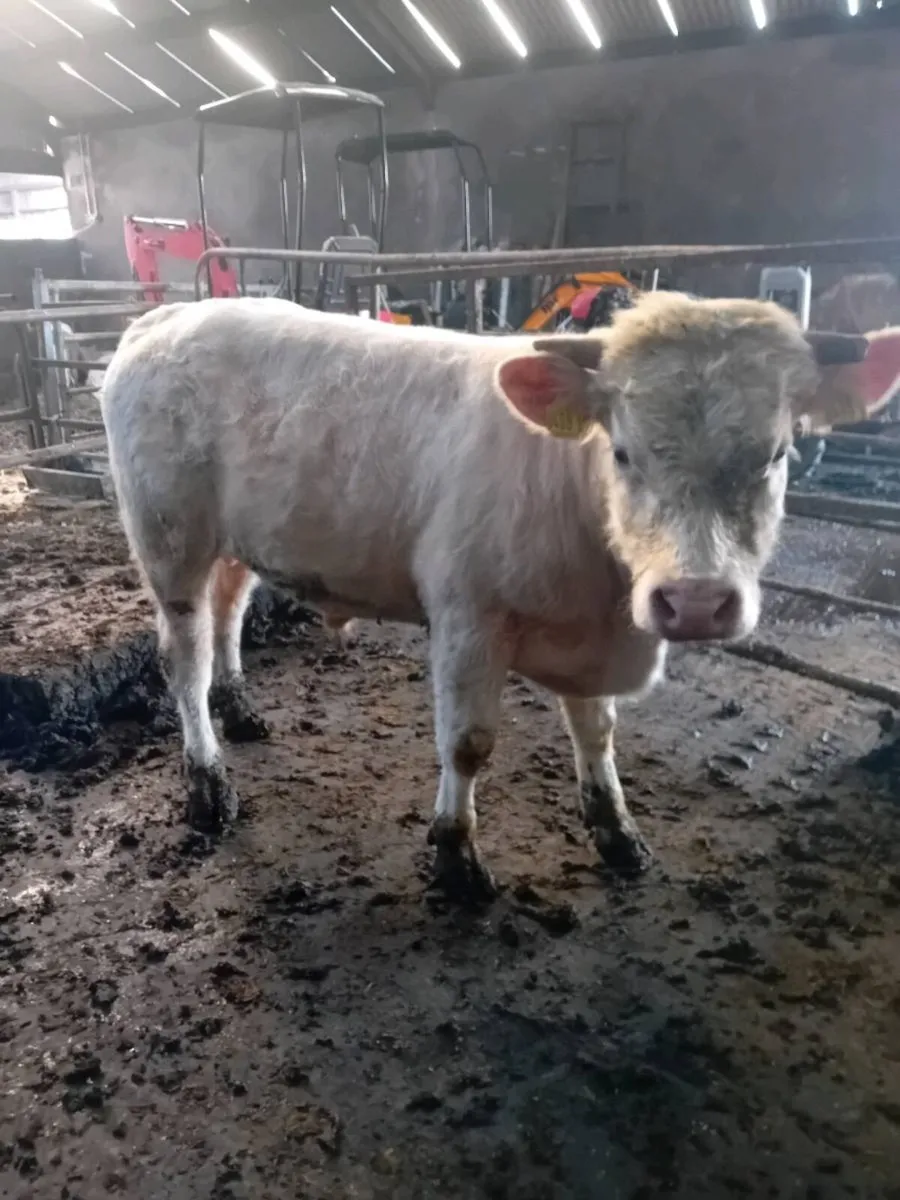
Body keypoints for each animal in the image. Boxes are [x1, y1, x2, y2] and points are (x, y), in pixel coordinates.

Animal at [100, 292, 884, 903]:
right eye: (623, 452)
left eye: (776, 454)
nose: (693, 601)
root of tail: (165, 317)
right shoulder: (467, 617)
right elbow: (468, 744)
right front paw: (455, 856)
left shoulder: (590, 635)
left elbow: (596, 733)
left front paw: (617, 830)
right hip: (170, 538)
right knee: (186, 658)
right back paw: (207, 784)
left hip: (237, 539)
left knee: (229, 613)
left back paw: (240, 709)